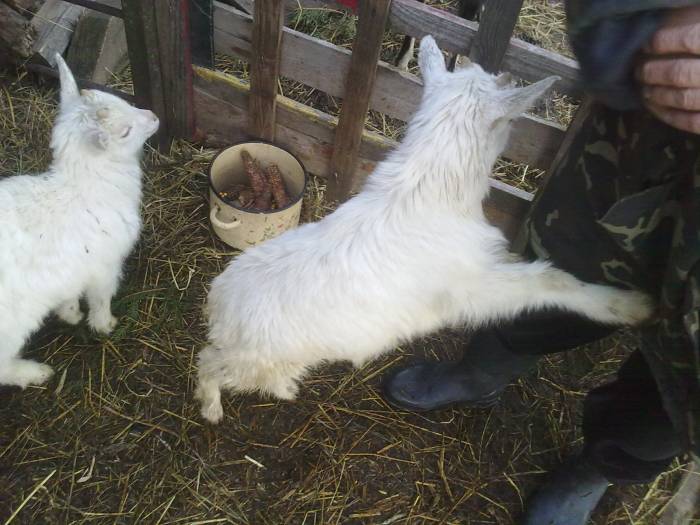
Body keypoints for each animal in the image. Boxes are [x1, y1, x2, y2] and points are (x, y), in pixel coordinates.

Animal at [0, 55, 158, 388]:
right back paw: (35, 372)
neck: (85, 186)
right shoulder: (105, 265)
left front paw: (70, 313)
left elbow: (69, 292)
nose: (153, 117)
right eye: (125, 132)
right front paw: (104, 324)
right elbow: (100, 297)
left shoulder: (70, 267)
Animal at [196, 36, 652, 423]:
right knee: (209, 364)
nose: (506, 76)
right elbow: (547, 282)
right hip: (254, 358)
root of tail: (219, 307)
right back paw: (215, 407)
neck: (430, 187)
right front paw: (630, 305)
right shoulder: (473, 287)